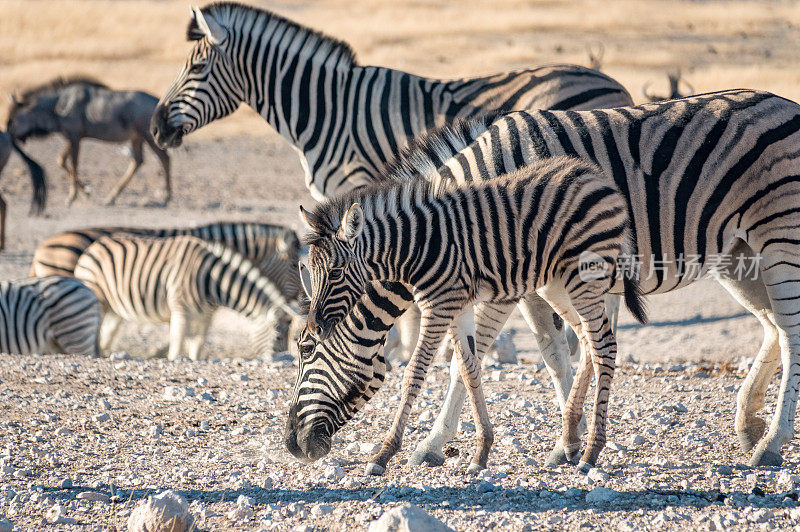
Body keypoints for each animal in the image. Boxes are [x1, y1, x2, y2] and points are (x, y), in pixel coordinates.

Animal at [75, 236, 298, 362]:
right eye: (278, 335)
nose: (285, 360)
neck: (212, 280)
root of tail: (95, 245)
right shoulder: (180, 312)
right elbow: (176, 345)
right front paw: (174, 361)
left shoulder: (206, 317)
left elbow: (197, 347)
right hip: (98, 298)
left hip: (115, 309)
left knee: (107, 333)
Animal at [152, 3, 636, 370]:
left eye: (196, 67)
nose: (156, 128)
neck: (329, 108)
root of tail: (614, 83)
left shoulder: (360, 185)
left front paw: (392, 346)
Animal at [290, 156, 648, 472]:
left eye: (335, 273)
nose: (295, 448)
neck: (418, 247)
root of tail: (596, 175)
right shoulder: (456, 306)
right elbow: (469, 369)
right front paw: (481, 452)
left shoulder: (438, 306)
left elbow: (413, 374)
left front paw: (384, 454)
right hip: (559, 284)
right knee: (590, 341)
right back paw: (571, 440)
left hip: (585, 276)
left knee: (605, 347)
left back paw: (591, 451)